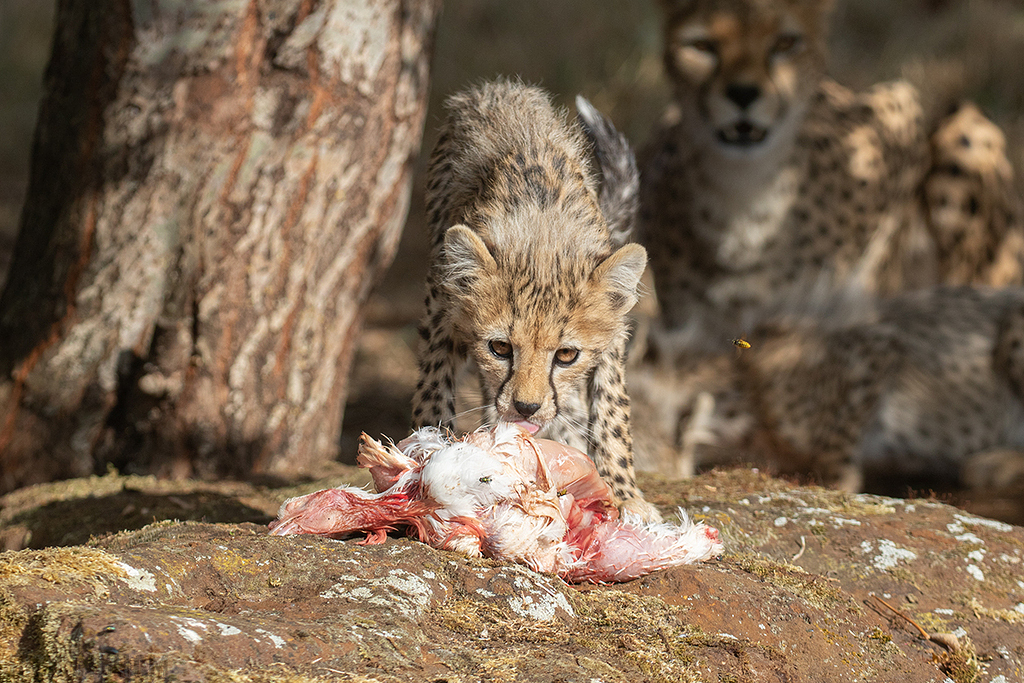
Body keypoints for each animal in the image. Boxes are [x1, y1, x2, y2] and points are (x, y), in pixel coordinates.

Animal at [410, 80, 659, 520]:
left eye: (566, 355)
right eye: (500, 347)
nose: (526, 408)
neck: (541, 241)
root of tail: (499, 87)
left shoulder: (612, 333)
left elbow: (612, 408)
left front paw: (625, 493)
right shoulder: (442, 306)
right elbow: (433, 385)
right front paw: (429, 456)